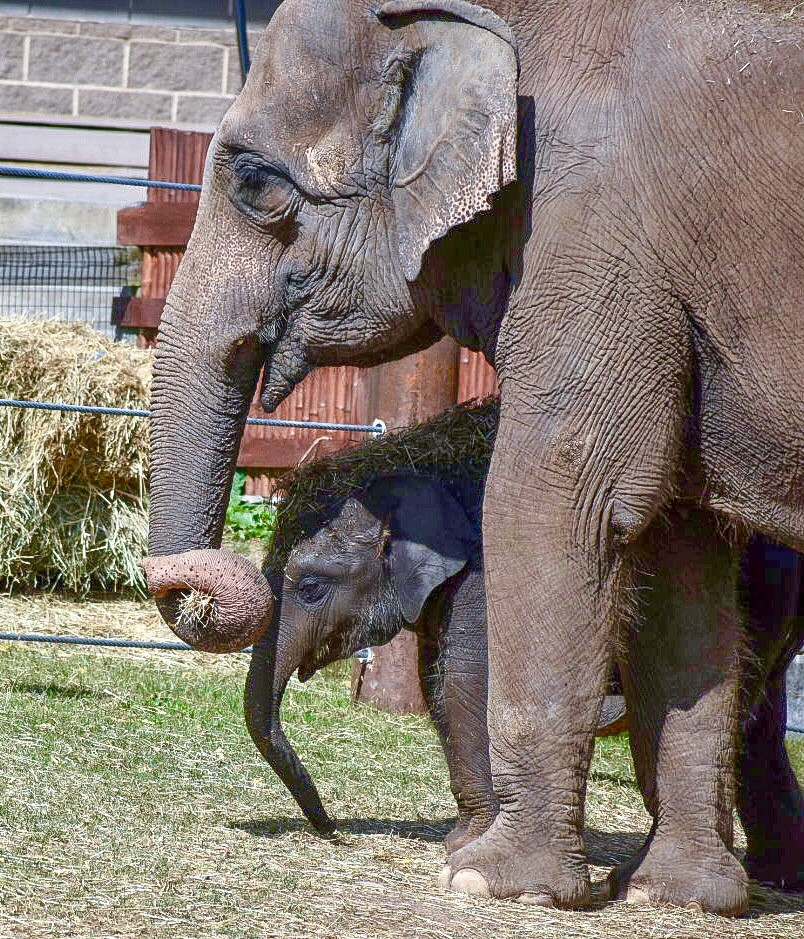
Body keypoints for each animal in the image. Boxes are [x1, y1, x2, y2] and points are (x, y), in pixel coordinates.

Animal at [245, 471, 628, 853]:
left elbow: (464, 680)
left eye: (311, 588)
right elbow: (434, 684)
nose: (331, 827)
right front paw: (461, 838)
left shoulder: (480, 586)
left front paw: (470, 845)